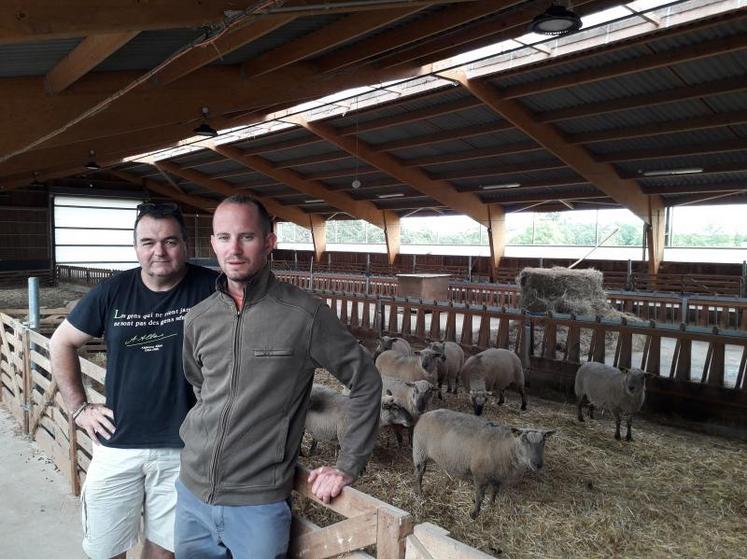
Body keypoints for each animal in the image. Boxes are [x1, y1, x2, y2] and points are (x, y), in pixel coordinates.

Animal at [414, 406, 556, 520]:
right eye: (524, 439)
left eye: (544, 441)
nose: (537, 464)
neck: (505, 447)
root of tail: (427, 413)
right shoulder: (480, 475)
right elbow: (480, 496)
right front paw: (475, 513)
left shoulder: (498, 476)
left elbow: (494, 492)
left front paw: (491, 505)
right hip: (419, 452)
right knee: (419, 474)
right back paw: (419, 493)